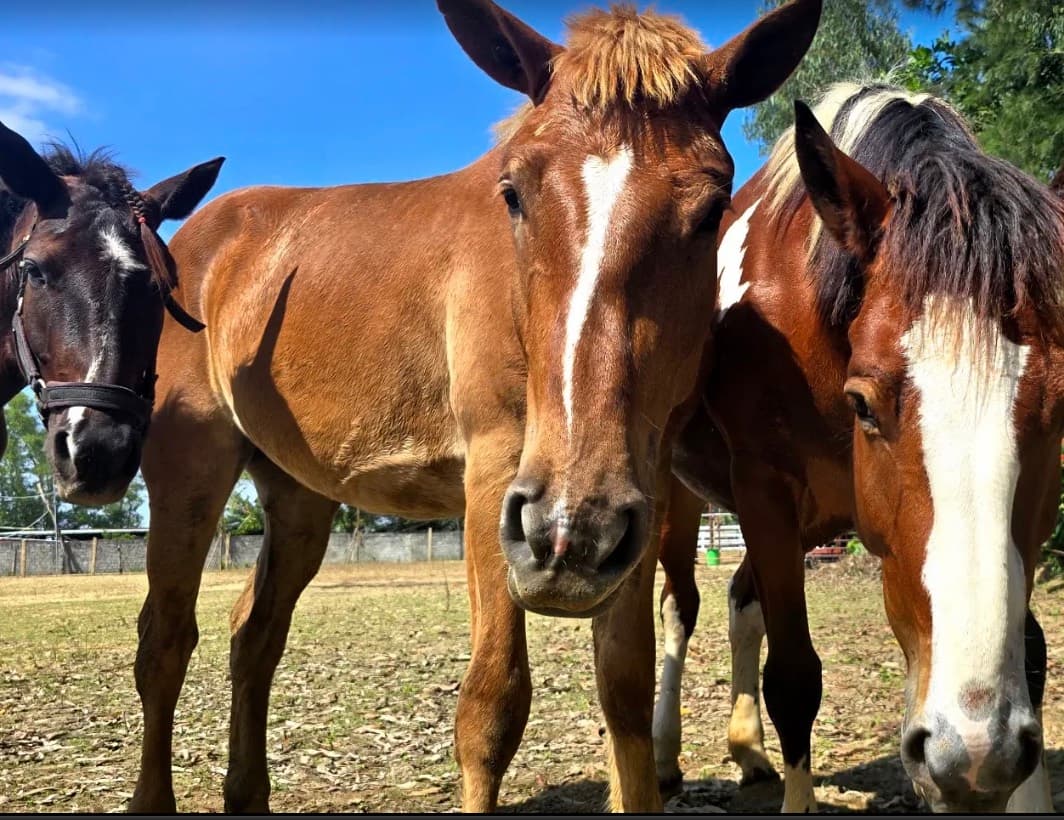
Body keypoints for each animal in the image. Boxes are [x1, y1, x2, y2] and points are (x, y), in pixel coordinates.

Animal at [124, 0, 823, 812]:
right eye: (513, 192)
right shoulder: (494, 478)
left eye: (713, 208)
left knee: (254, 633)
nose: (569, 530)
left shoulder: (640, 494)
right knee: (165, 639)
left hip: (298, 497)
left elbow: (624, 692)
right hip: (191, 474)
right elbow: (492, 708)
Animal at [651, 82, 1064, 813]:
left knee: (739, 602)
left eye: (1062, 405)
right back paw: (666, 757)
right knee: (681, 607)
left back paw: (748, 750)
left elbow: (1035, 654)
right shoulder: (763, 491)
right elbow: (794, 679)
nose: (971, 753)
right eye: (865, 404)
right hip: (685, 502)